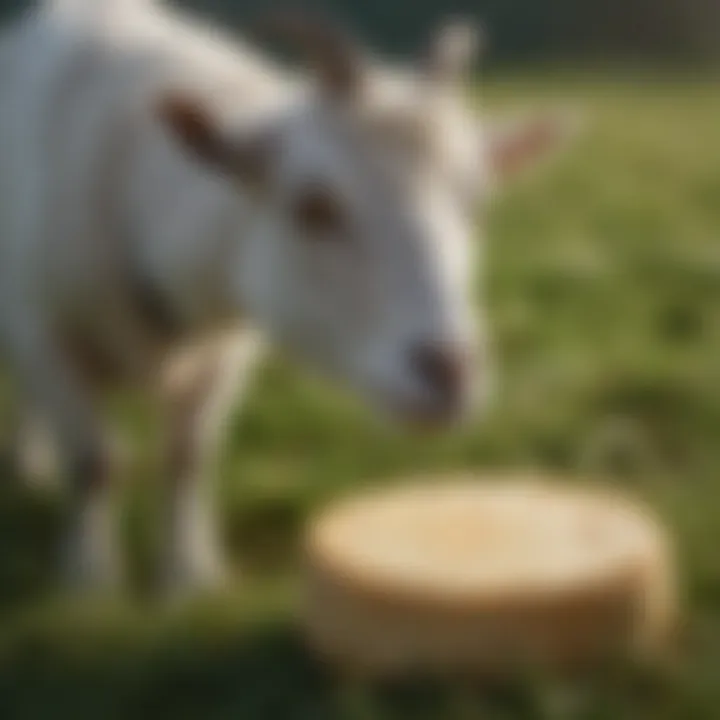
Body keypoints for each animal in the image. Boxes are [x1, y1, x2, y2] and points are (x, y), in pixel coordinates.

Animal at [0, 0, 576, 592]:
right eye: (313, 205)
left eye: (475, 204)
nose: (450, 374)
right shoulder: (44, 331)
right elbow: (93, 463)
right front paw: (89, 579)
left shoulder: (226, 348)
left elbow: (188, 455)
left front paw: (190, 575)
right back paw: (30, 462)